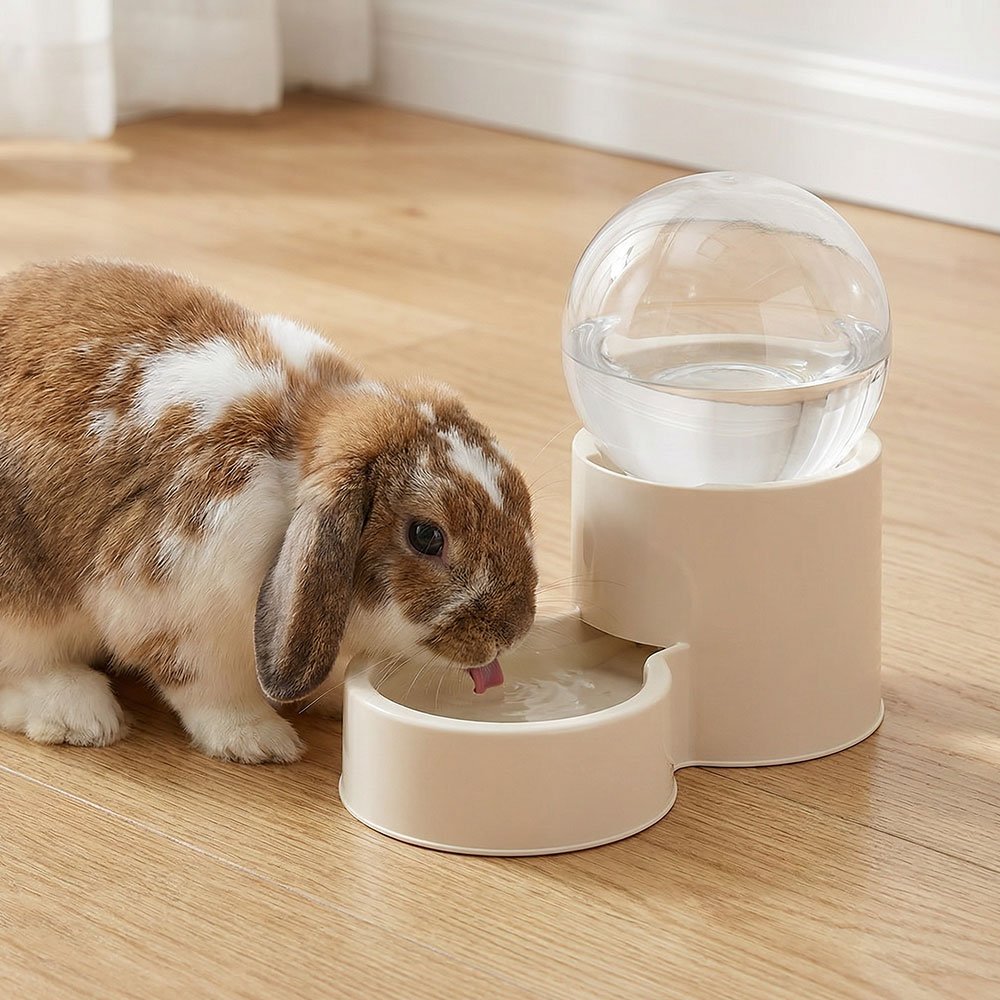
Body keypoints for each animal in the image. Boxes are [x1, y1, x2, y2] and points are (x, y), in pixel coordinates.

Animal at [0, 260, 537, 763]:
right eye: (426, 536)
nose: (512, 632)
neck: (290, 467)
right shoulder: (172, 611)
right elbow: (209, 690)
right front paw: (260, 741)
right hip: (21, 604)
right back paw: (80, 715)